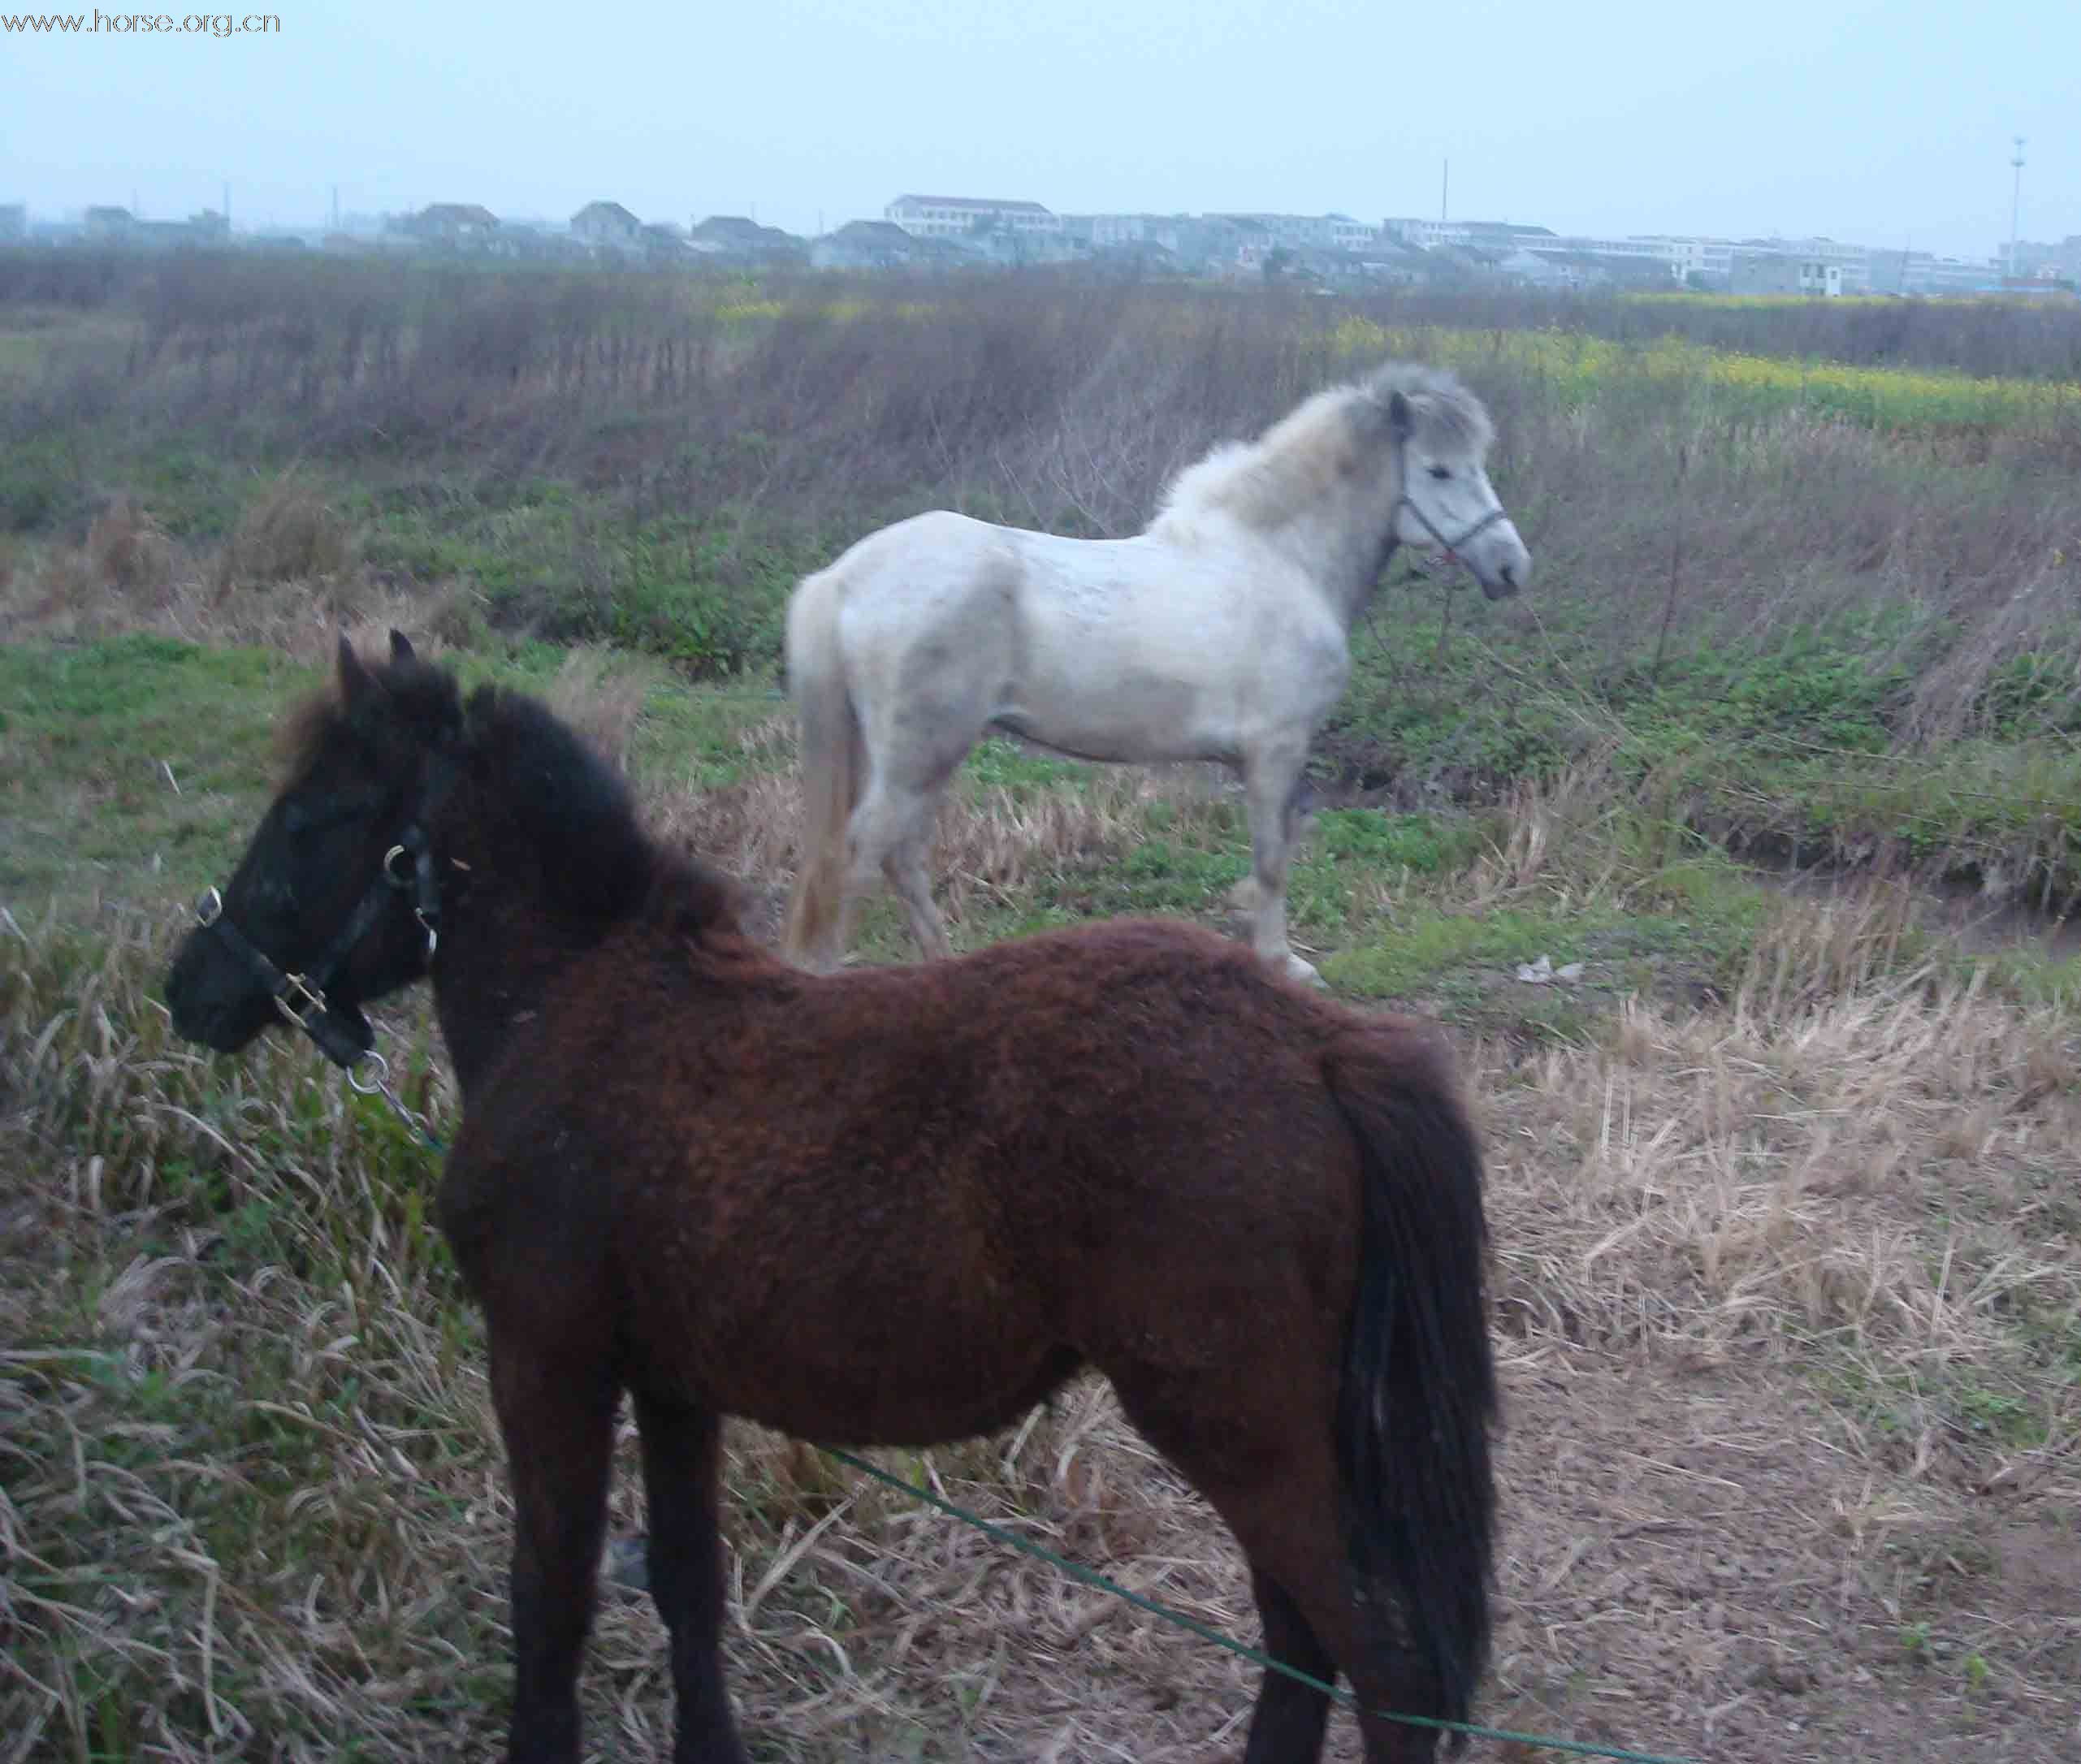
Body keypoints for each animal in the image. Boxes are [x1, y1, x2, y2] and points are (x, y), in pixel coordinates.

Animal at [158, 632, 1498, 1764]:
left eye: (313, 816)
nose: (193, 987)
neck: (582, 1005)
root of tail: (1318, 1048)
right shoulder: (671, 1383)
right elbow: (687, 1588)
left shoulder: (546, 1361)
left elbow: (550, 1604)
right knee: (1302, 1647)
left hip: (1239, 1431)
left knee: (1380, 1669)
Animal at [782, 360, 1531, 986]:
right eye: (1439, 471)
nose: (1510, 567)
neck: (1280, 560)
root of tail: (844, 578)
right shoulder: (1276, 751)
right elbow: (1273, 858)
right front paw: (1281, 962)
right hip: (921, 756)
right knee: (859, 860)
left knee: (898, 858)